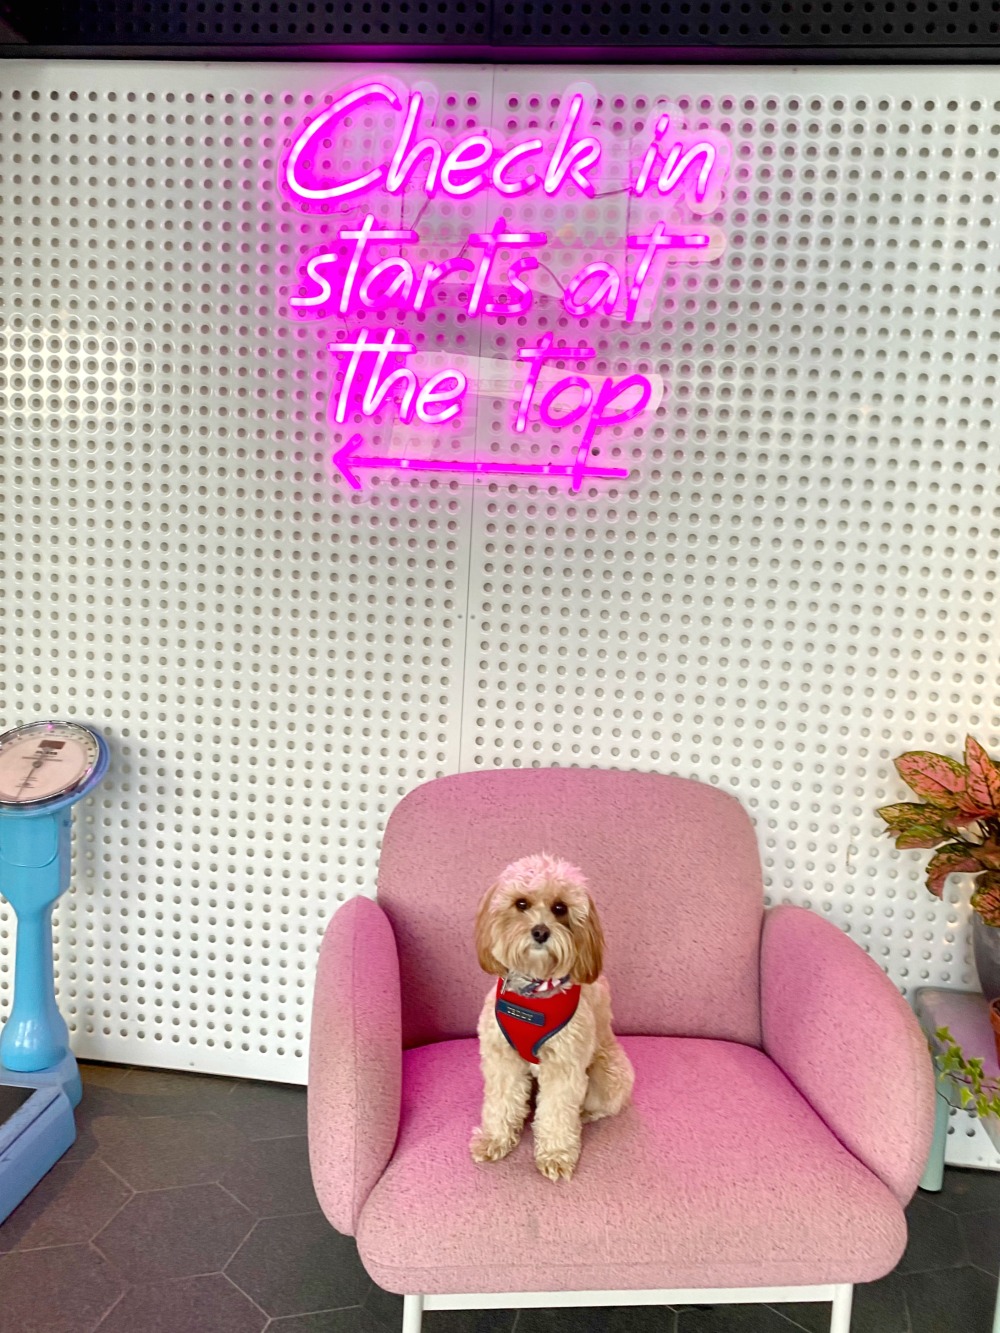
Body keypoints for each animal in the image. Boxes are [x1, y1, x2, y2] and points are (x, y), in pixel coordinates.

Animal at [472, 853, 634, 1178]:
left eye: (560, 908)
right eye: (521, 903)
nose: (540, 931)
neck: (534, 991)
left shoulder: (565, 1066)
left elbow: (557, 1112)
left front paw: (556, 1155)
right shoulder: (502, 1059)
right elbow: (501, 1102)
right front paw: (494, 1140)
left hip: (608, 1072)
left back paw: (583, 1114)